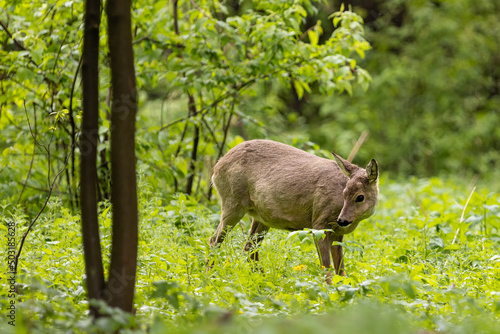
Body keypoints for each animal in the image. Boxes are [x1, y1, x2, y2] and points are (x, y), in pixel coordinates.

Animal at [208, 138, 378, 282]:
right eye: (344, 193)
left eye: (360, 197)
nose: (342, 220)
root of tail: (216, 167)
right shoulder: (319, 223)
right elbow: (326, 267)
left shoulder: (338, 233)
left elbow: (340, 270)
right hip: (232, 202)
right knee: (214, 240)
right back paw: (210, 276)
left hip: (261, 217)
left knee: (249, 248)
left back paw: (262, 280)